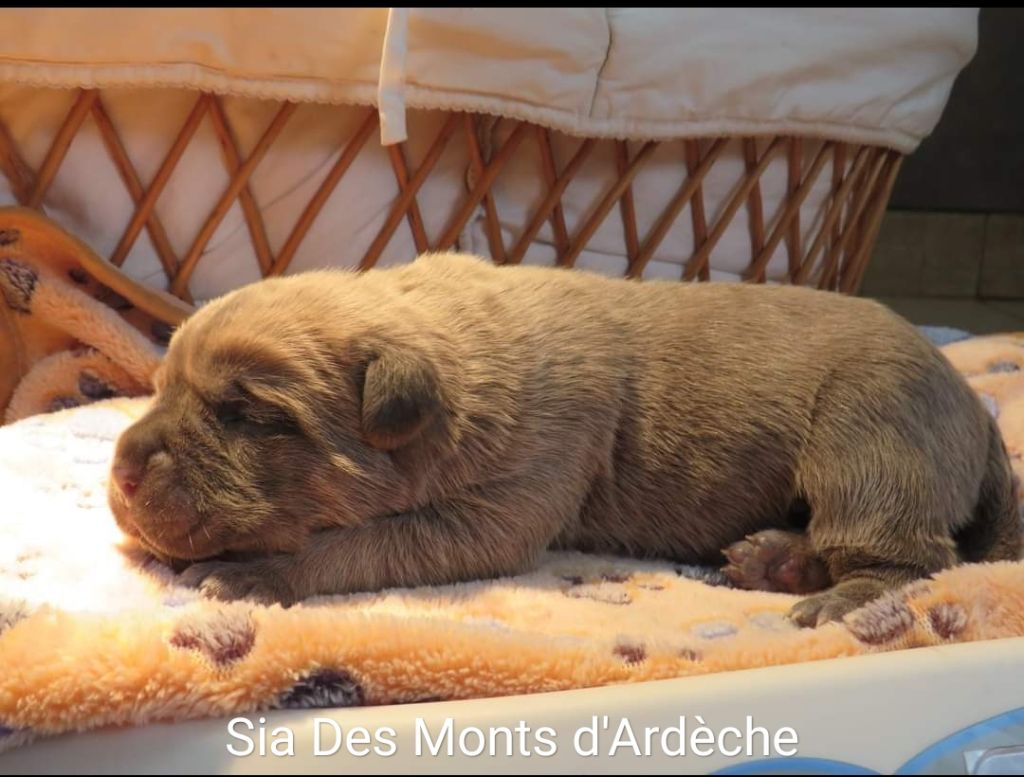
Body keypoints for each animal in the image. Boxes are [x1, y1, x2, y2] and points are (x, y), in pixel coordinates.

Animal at [108, 251, 1019, 630]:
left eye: (244, 413)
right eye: (161, 384)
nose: (119, 470)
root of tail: (978, 412)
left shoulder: (505, 502)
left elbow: (358, 544)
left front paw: (254, 576)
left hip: (871, 436)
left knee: (915, 558)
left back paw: (831, 596)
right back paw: (776, 559)